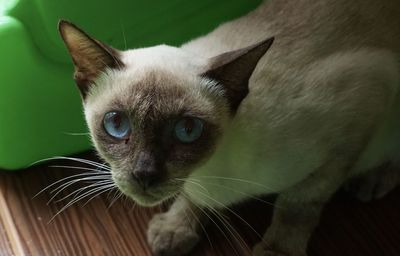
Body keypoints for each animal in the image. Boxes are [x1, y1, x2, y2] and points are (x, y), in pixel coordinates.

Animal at [58, 1, 400, 255]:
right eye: (117, 124)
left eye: (187, 130)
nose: (144, 176)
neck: (206, 174)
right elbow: (191, 201)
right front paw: (174, 229)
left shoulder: (359, 110)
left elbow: (298, 205)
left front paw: (277, 252)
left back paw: (372, 179)